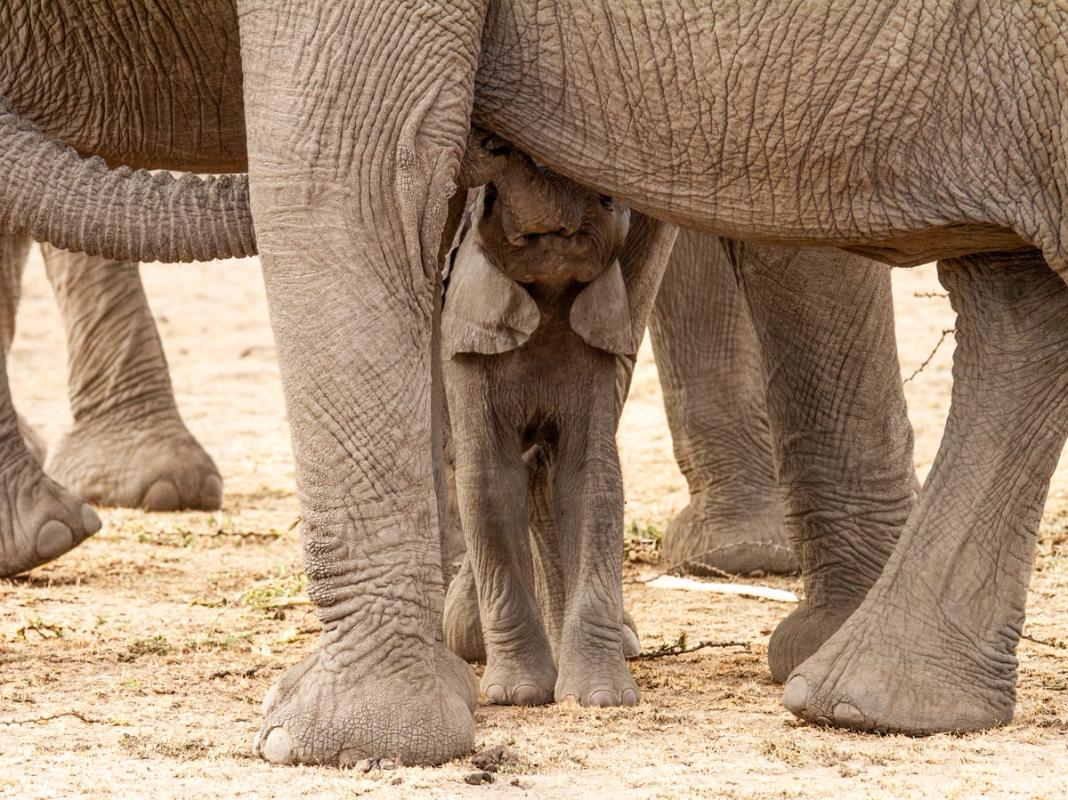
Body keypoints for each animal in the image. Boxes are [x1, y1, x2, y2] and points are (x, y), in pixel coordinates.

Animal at [3, 0, 1065, 765]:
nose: (496, 138)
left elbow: (343, 173)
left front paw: (324, 739)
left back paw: (846, 693)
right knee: (1019, 302)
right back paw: (869, 701)